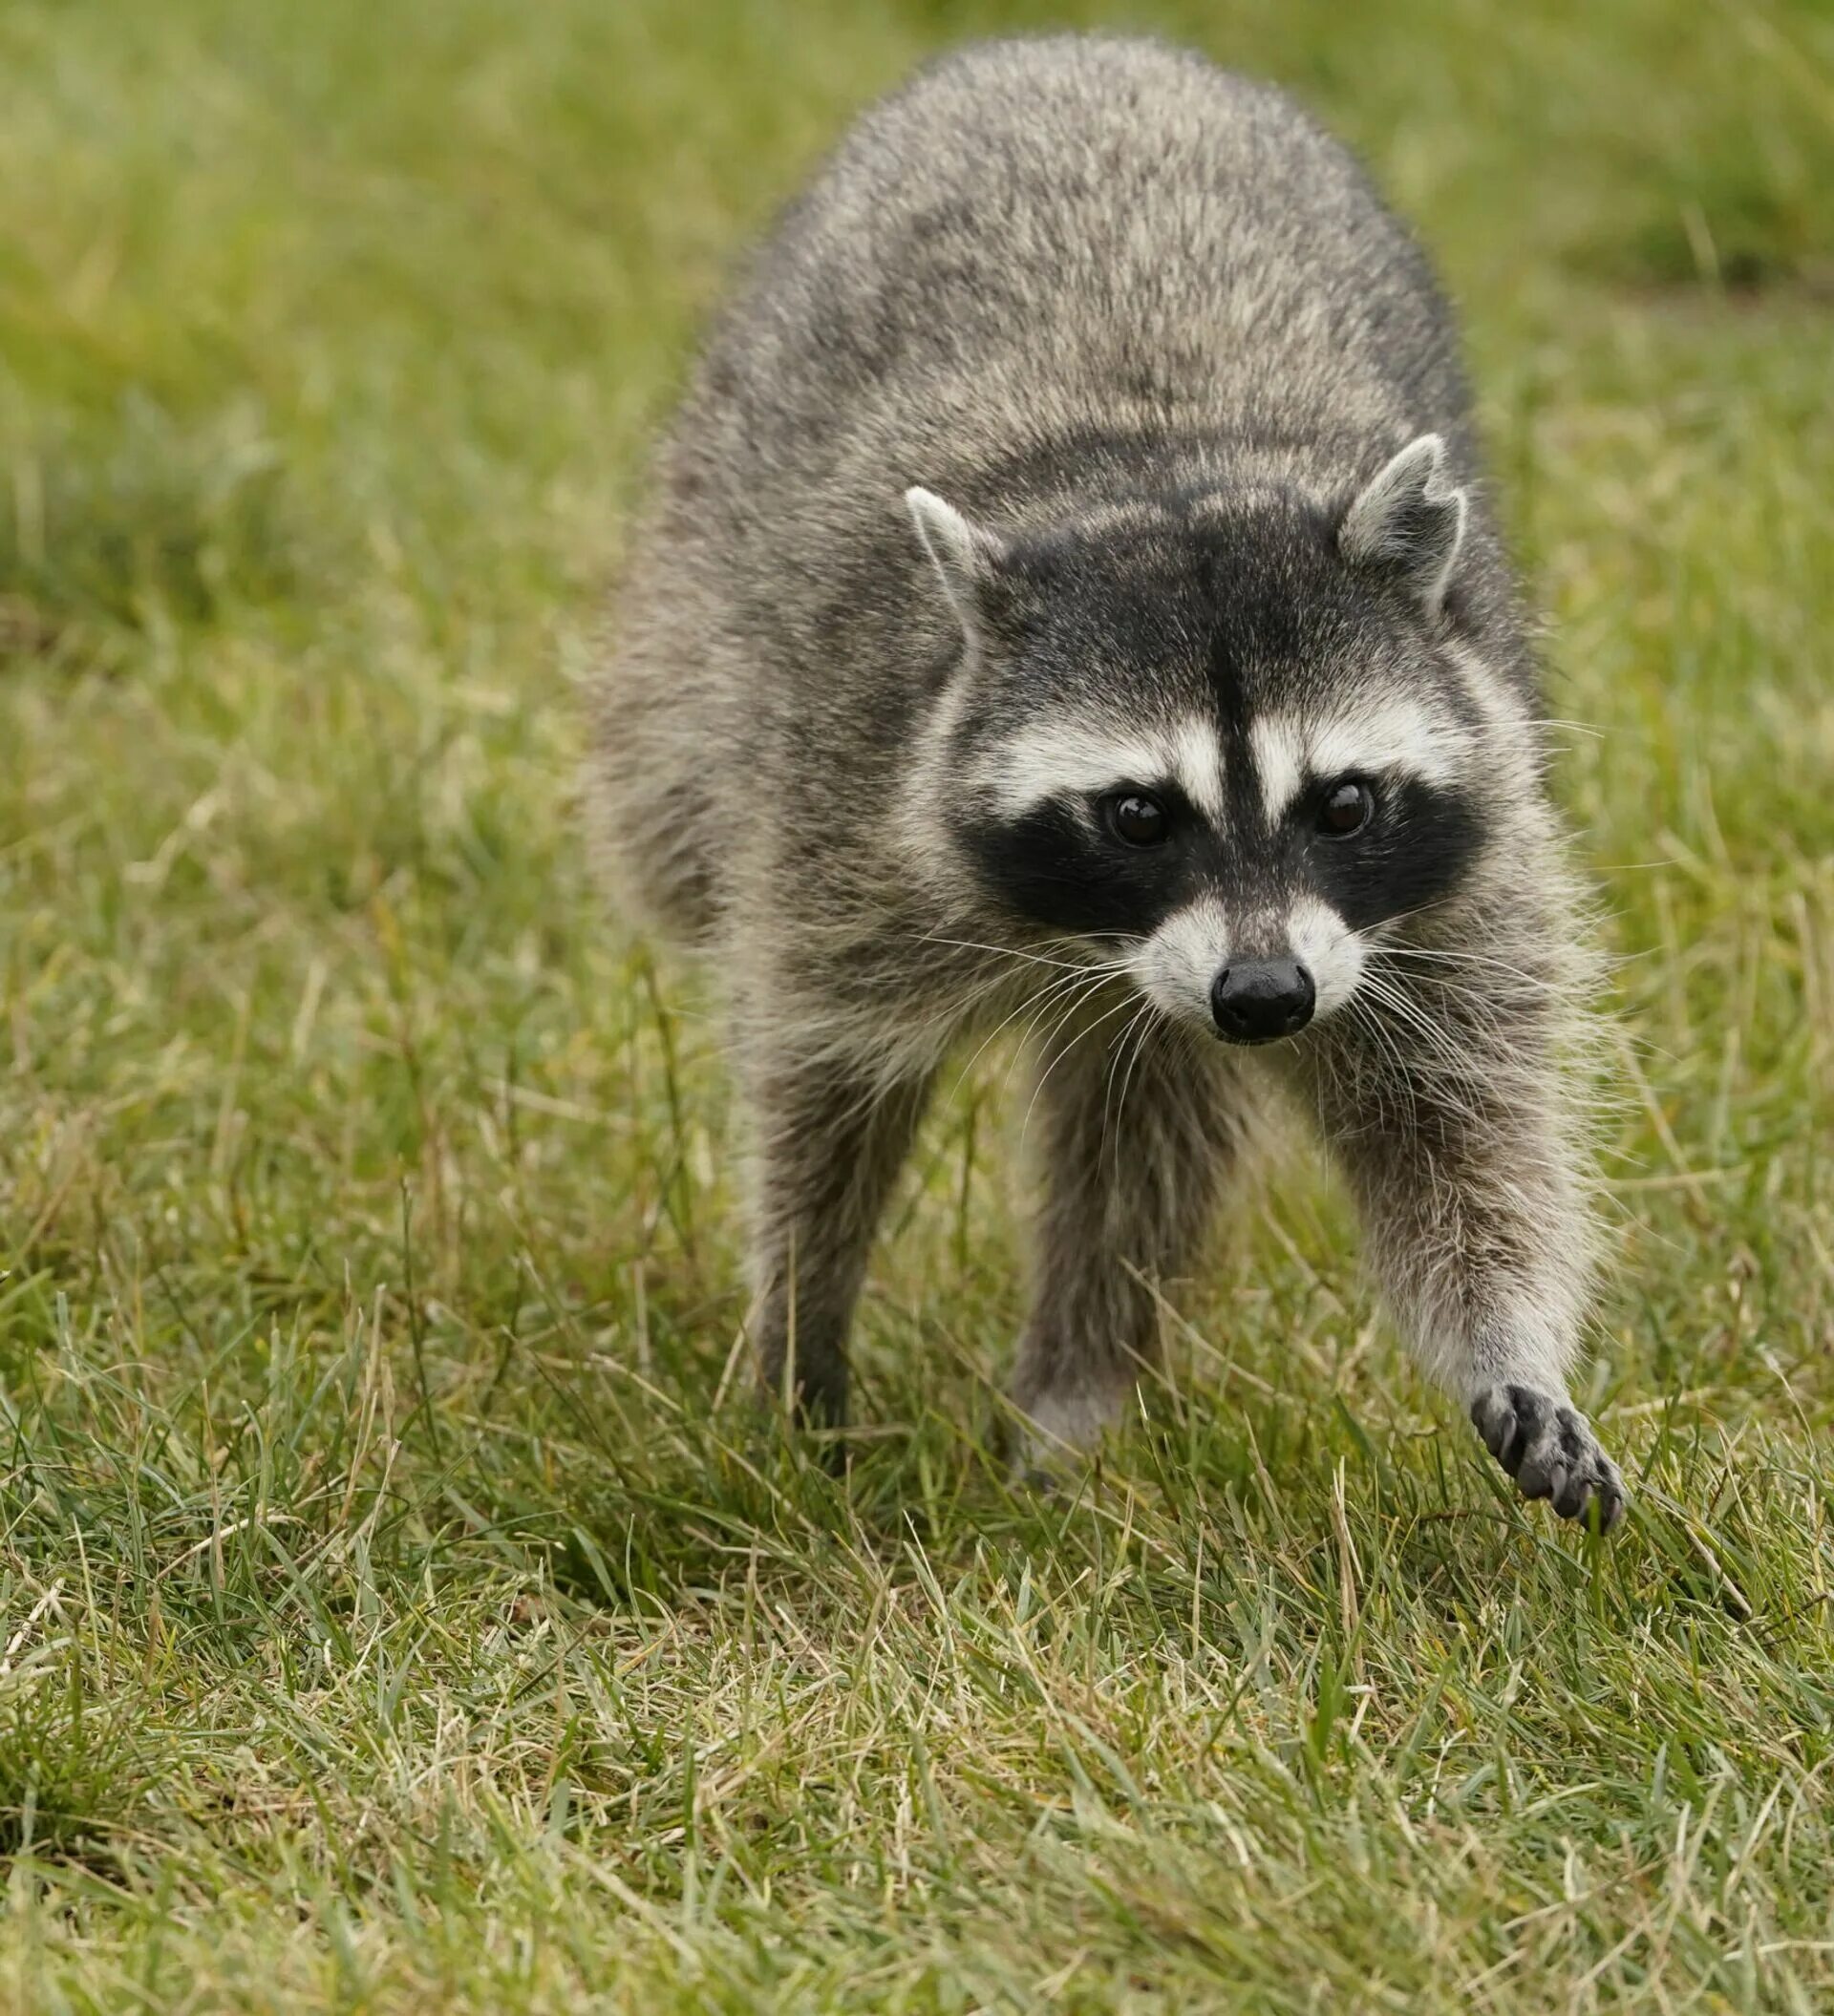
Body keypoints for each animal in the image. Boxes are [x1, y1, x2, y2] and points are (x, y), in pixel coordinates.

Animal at [596, 35, 1628, 1523]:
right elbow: (824, 1084)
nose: (1266, 996)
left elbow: (1459, 1121)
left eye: (1344, 802)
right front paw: (798, 1328)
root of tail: (1080, 44)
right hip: (698, 574)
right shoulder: (841, 800)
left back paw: (1073, 1396)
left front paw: (1510, 1342)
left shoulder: (1460, 866)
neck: (1166, 461)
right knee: (669, 823)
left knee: (1146, 1131)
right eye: (1139, 814)